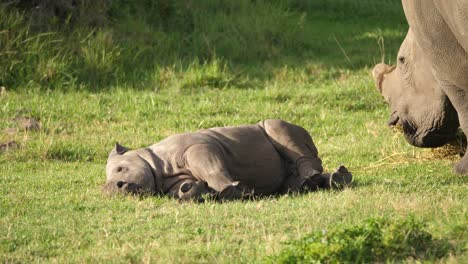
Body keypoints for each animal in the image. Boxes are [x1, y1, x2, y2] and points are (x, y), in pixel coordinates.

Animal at [102, 118, 352, 201]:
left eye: (121, 170)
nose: (114, 188)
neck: (154, 163)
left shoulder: (199, 147)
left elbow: (212, 167)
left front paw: (230, 191)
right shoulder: (170, 179)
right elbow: (185, 188)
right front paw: (195, 192)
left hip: (279, 127)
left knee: (276, 127)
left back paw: (315, 177)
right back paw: (314, 183)